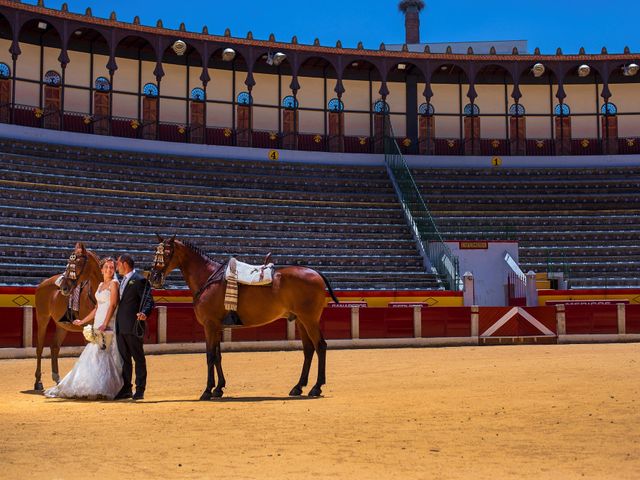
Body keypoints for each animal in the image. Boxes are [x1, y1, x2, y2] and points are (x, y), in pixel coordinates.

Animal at [33, 244, 101, 390]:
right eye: (68, 263)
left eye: (78, 263)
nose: (64, 287)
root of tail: (43, 283)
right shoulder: (87, 328)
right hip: (42, 318)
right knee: (40, 348)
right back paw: (38, 382)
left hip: (62, 325)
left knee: (54, 347)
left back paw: (57, 379)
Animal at [150, 234, 340, 400]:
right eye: (155, 252)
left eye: (167, 253)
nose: (154, 277)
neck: (208, 278)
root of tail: (316, 273)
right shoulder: (217, 326)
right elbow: (218, 356)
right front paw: (218, 388)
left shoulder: (209, 325)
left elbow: (210, 356)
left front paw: (207, 391)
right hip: (301, 321)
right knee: (308, 349)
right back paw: (298, 387)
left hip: (310, 320)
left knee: (320, 346)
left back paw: (316, 387)